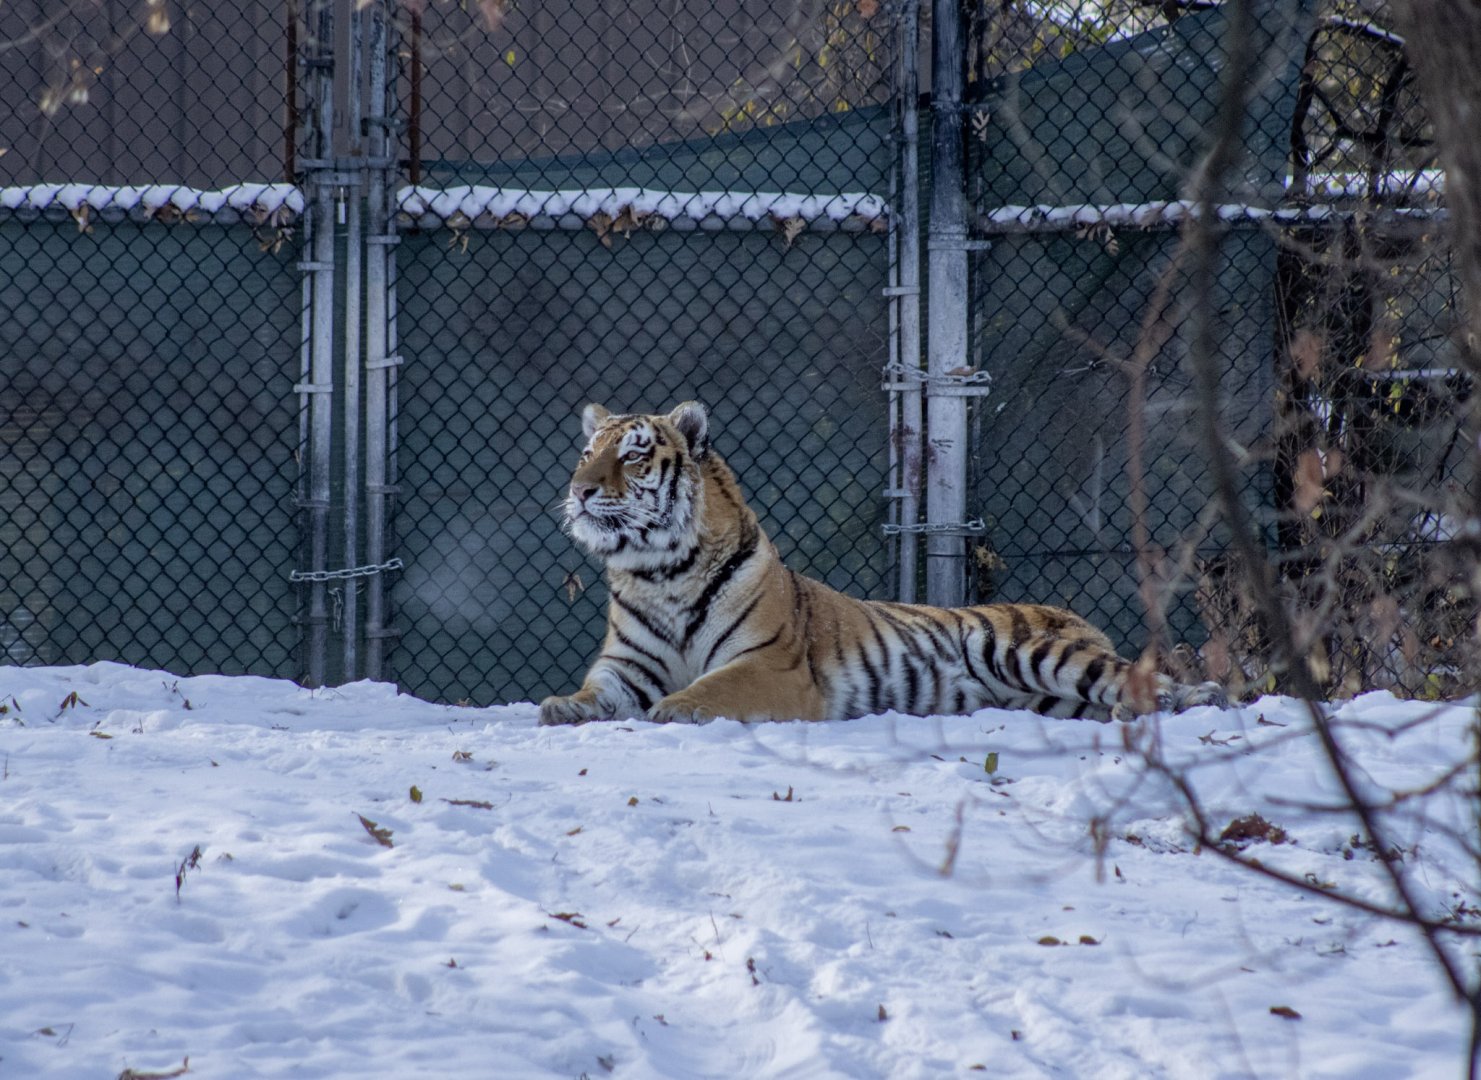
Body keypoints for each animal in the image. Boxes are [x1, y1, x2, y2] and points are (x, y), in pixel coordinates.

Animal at [538, 401, 1227, 726]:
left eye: (632, 455)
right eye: (587, 452)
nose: (578, 489)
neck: (660, 572)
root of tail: (1076, 617)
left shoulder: (770, 665)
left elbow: (712, 687)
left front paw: (675, 708)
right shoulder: (627, 666)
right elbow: (595, 690)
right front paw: (562, 706)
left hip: (1028, 650)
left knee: (1141, 679)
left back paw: (1192, 699)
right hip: (1051, 701)